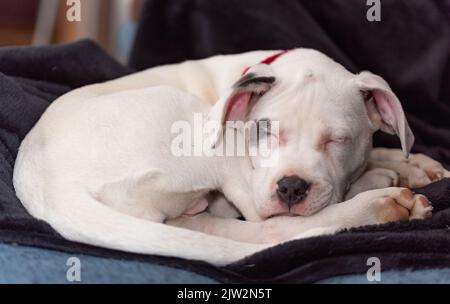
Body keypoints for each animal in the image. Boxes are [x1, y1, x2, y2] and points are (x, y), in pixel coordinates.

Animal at [12, 48, 448, 264]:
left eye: (338, 139)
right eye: (264, 130)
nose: (292, 187)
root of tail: (51, 187)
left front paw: (410, 162)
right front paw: (382, 174)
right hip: (206, 132)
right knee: (268, 228)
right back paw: (377, 201)